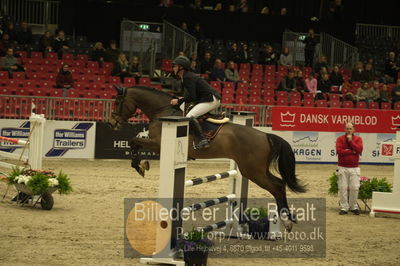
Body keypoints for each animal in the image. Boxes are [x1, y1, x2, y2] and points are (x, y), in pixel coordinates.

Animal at [109, 85, 306, 231]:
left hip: (253, 171)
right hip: (256, 169)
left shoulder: (157, 143)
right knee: (280, 184)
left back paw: (286, 221)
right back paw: (286, 220)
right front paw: (143, 165)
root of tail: (265, 135)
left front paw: (139, 165)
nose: (112, 123)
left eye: (118, 102)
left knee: (277, 186)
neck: (163, 111)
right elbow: (135, 142)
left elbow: (134, 141)